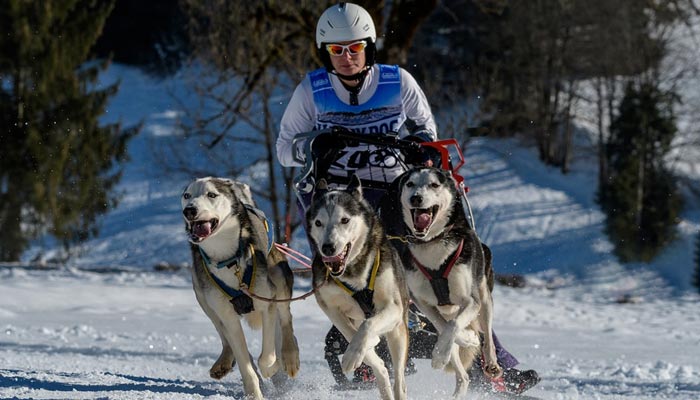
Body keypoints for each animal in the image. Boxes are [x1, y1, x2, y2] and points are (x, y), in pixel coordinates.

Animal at [182, 177, 300, 398]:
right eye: (187, 195)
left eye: (212, 194)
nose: (189, 210)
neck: (228, 260)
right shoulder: (228, 317)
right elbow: (245, 363)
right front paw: (254, 392)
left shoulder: (267, 303)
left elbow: (267, 355)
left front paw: (272, 367)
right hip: (203, 298)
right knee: (224, 336)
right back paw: (225, 360)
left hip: (279, 279)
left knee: (286, 320)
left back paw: (289, 356)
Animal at [306, 177, 410, 400]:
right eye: (318, 223)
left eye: (344, 220)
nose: (327, 247)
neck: (352, 271)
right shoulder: (330, 308)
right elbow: (351, 334)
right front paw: (357, 353)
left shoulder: (393, 307)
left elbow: (368, 326)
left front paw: (354, 353)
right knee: (381, 367)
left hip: (399, 332)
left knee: (399, 378)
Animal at [392, 166, 500, 396]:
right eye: (410, 184)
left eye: (434, 184)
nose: (416, 198)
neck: (432, 243)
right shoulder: (423, 303)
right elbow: (444, 326)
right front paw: (460, 342)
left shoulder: (471, 301)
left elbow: (454, 325)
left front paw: (441, 354)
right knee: (463, 376)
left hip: (484, 300)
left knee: (487, 336)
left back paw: (492, 362)